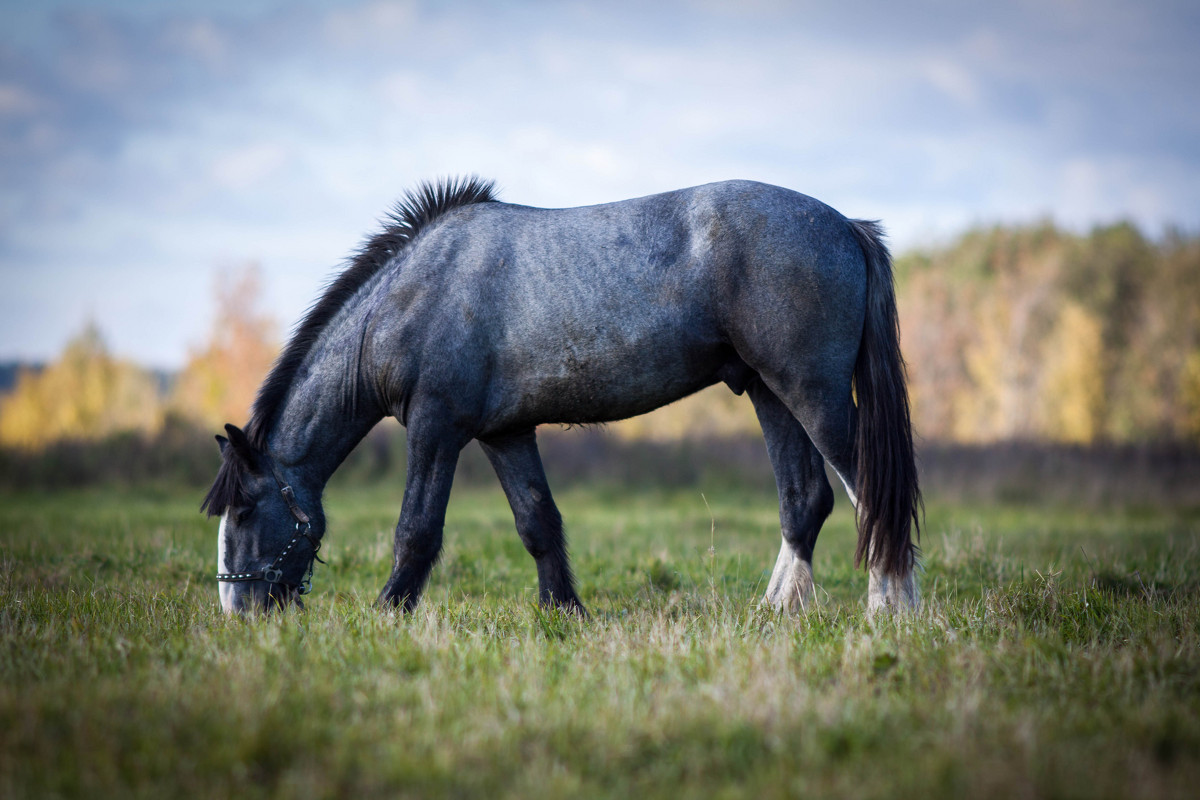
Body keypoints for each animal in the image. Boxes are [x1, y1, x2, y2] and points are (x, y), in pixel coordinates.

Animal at [201, 176, 921, 614]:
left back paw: (891, 609)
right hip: (771, 394)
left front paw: (388, 612)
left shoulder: (437, 428)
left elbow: (417, 530)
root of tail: (846, 225)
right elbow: (537, 522)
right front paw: (564, 610)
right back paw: (777, 611)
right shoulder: (503, 434)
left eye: (245, 509)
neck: (410, 299)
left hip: (813, 394)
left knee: (868, 490)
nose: (237, 613)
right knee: (806, 500)